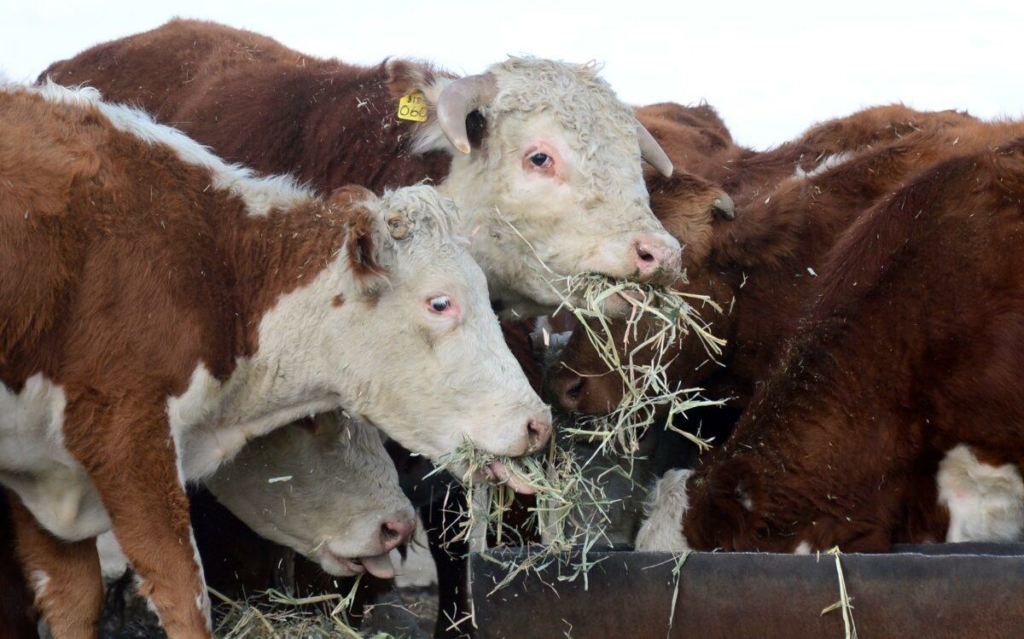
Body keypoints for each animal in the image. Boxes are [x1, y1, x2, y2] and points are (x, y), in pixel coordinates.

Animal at [0, 80, 552, 639]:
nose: (538, 424)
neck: (216, 272)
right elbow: (184, 599)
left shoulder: (41, 475)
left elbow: (75, 603)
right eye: (440, 303)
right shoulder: (128, 439)